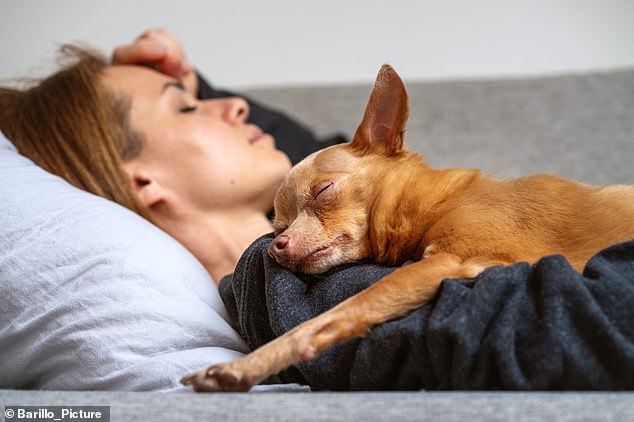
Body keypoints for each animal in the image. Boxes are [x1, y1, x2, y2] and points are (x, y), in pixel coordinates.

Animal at [180, 63, 632, 392]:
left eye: (323, 191)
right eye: (278, 228)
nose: (278, 247)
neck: (438, 202)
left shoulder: (450, 260)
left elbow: (334, 315)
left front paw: (243, 367)